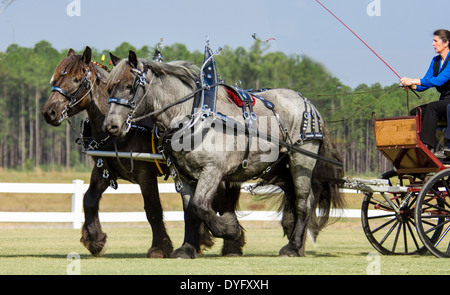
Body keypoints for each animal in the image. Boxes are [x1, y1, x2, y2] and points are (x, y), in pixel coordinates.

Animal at [103, 51, 344, 260]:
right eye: (109, 88)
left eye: (130, 86)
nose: (111, 126)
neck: (191, 114)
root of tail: (307, 102)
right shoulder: (183, 175)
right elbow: (190, 212)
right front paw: (187, 248)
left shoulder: (213, 170)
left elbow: (200, 206)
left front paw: (230, 230)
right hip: (277, 165)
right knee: (295, 197)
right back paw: (297, 243)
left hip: (302, 159)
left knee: (304, 201)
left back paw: (292, 247)